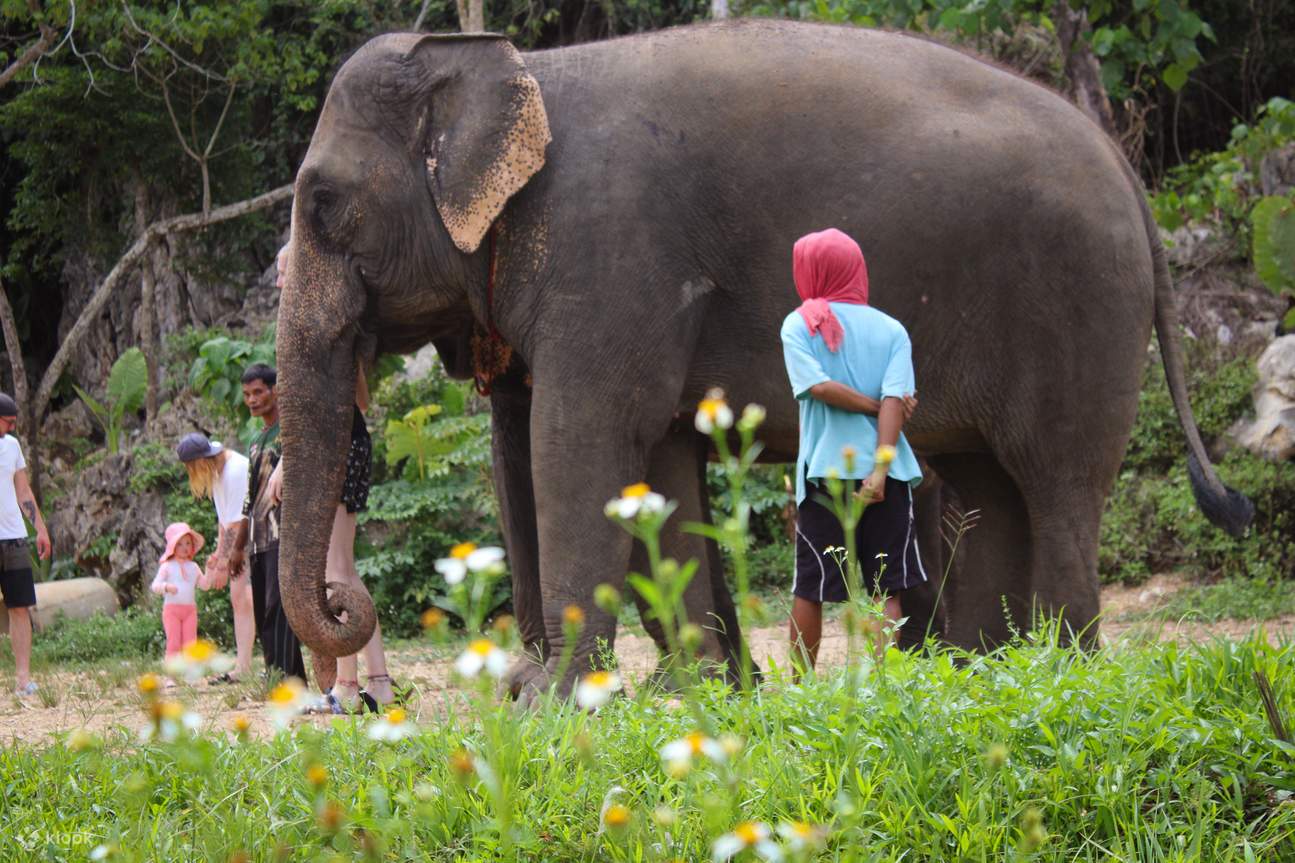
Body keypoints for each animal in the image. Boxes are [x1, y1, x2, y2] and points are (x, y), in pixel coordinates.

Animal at [274, 19, 1252, 697]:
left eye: (322, 204)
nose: (344, 605)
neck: (526, 70)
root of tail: (1125, 168)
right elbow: (622, 457)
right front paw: (691, 690)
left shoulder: (610, 250)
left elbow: (578, 441)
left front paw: (556, 700)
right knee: (989, 485)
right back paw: (979, 674)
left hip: (1078, 310)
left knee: (1057, 486)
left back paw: (1061, 671)